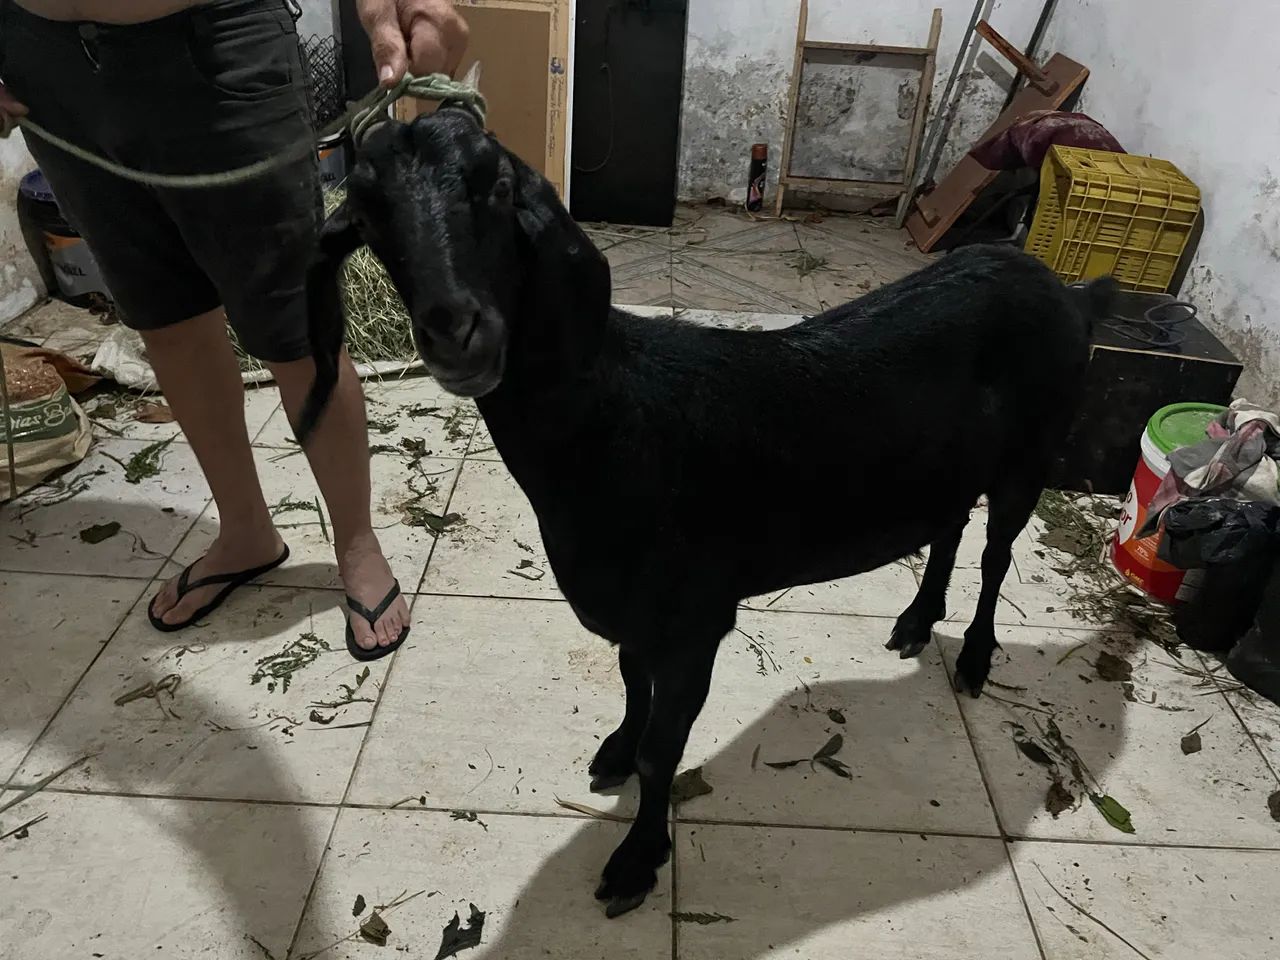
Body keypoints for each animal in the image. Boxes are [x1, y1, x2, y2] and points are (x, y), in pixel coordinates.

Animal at [296, 108, 1115, 919]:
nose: (455, 331)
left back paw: (974, 657)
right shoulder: (636, 616)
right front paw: (615, 754)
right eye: (366, 211)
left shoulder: (694, 620)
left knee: (996, 552)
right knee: (949, 527)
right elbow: (632, 687)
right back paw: (917, 621)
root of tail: (1066, 289)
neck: (614, 420)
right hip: (952, 468)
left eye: (496, 184)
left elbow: (666, 748)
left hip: (1031, 456)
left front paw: (636, 860)